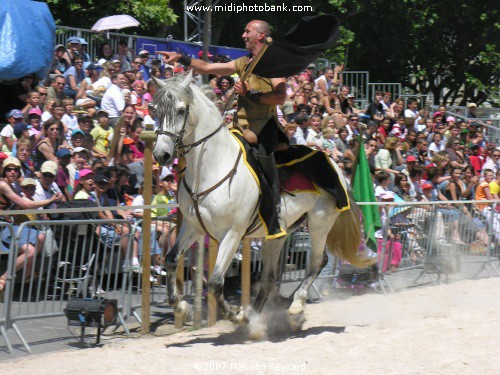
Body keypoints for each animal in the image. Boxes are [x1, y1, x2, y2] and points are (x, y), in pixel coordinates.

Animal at [152, 72, 372, 328]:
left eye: (181, 110)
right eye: (157, 110)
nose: (162, 154)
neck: (211, 168)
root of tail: (337, 167)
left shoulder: (232, 233)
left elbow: (216, 282)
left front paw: (235, 314)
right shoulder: (193, 226)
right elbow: (171, 259)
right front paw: (182, 307)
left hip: (320, 222)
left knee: (318, 262)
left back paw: (295, 307)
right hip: (278, 234)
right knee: (269, 277)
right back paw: (256, 317)